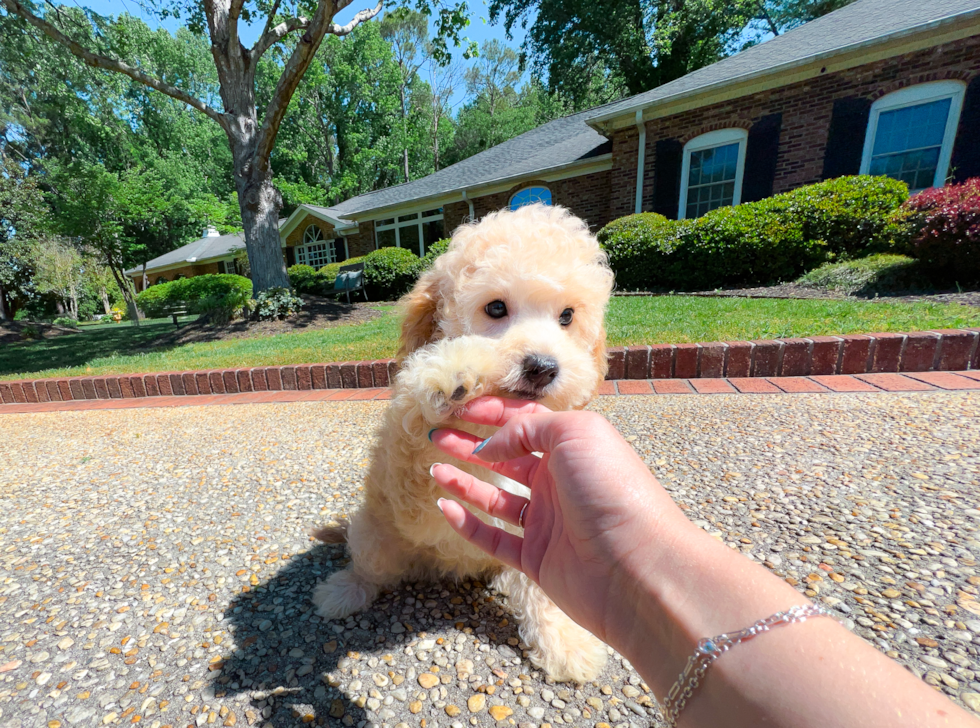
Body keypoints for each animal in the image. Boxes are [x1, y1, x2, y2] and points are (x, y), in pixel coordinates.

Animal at [314, 203, 612, 684]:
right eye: (495, 307)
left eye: (567, 316)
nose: (543, 367)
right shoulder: (411, 491)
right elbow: (422, 443)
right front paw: (453, 370)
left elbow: (543, 590)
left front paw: (565, 643)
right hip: (375, 533)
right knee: (369, 568)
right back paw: (343, 591)